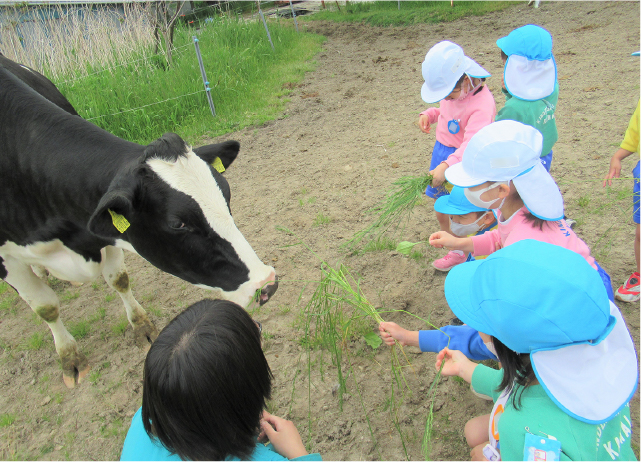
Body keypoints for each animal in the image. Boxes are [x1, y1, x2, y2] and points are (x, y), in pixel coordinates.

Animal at [0, 59, 276, 388]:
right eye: (177, 223)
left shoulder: (104, 232)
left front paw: (142, 327)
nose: (267, 284)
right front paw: (70, 360)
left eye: (227, 192)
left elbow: (119, 279)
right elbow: (46, 306)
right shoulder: (8, 259)